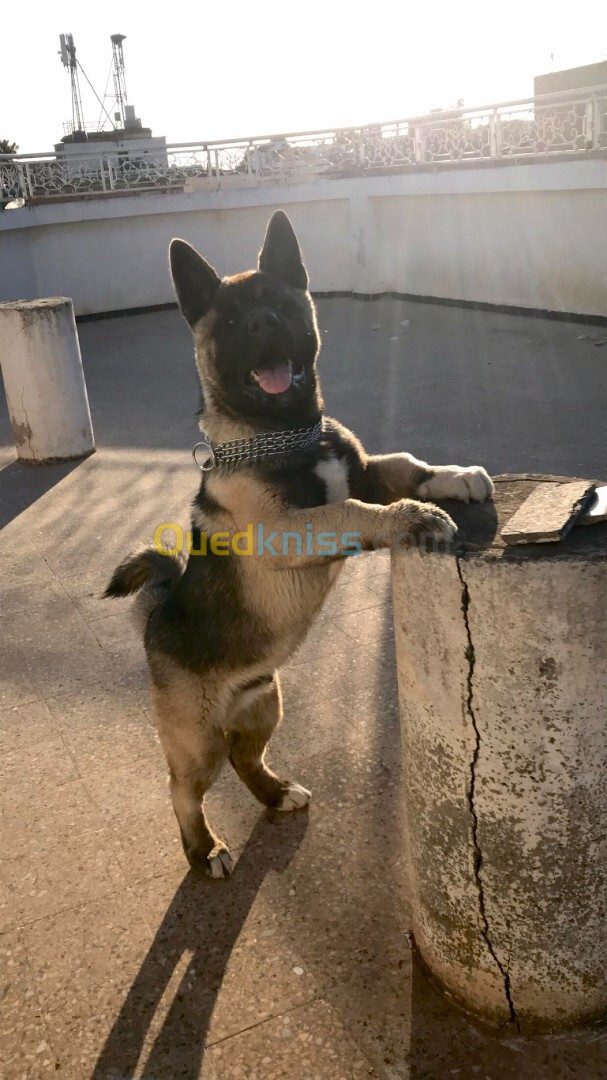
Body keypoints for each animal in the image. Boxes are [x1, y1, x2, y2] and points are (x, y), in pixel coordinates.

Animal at [103, 208, 492, 876]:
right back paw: (204, 849)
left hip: (265, 703)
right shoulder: (290, 529)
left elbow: (403, 465)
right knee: (182, 788)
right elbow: (353, 508)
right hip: (196, 741)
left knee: (247, 757)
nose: (264, 323)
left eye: (281, 304)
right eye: (232, 323)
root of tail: (155, 617)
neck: (285, 433)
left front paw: (453, 479)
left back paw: (276, 791)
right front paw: (411, 517)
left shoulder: (364, 468)